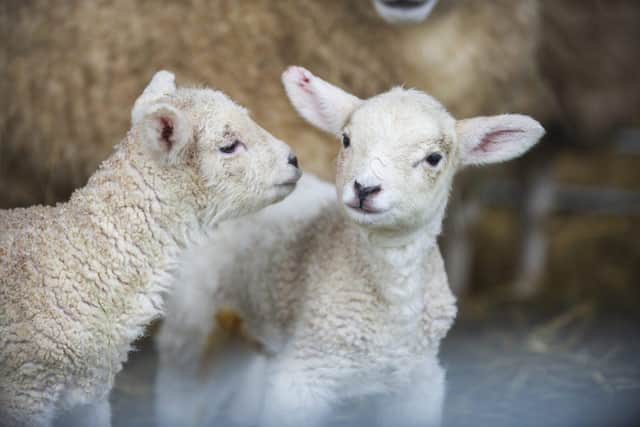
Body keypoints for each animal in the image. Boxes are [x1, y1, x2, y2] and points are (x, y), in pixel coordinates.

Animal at [154, 64, 544, 427]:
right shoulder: (303, 376)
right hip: (191, 315)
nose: (365, 188)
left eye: (434, 158)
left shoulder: (419, 379)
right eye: (345, 139)